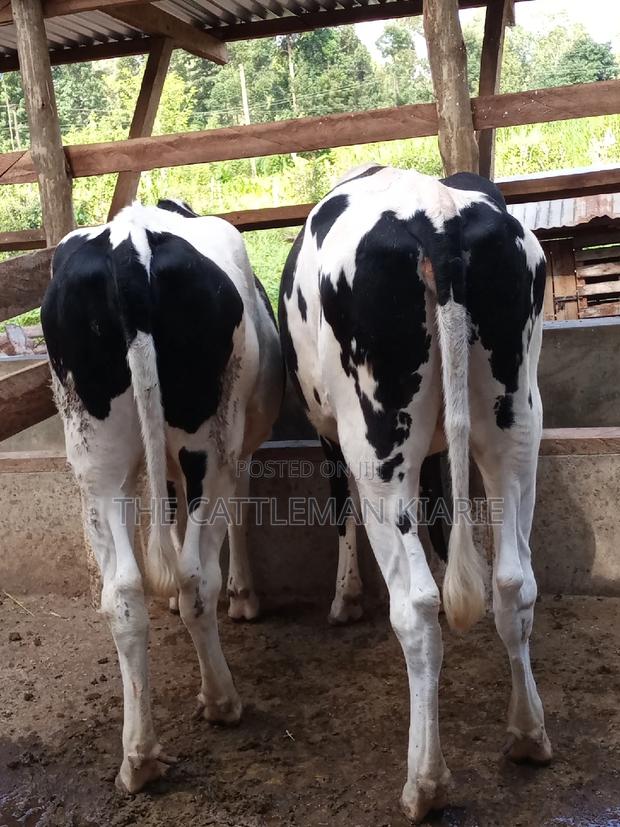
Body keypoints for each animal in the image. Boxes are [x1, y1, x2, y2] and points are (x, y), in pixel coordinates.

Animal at [41, 199, 283, 794]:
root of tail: (130, 242)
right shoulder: (240, 450)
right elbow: (234, 518)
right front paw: (245, 597)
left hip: (94, 458)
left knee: (123, 593)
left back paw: (139, 756)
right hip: (209, 445)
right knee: (197, 573)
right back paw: (221, 700)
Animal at [278, 165, 552, 822]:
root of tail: (436, 217)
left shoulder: (331, 436)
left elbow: (342, 510)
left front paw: (345, 598)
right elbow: (441, 514)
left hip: (377, 440)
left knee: (419, 608)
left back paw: (424, 782)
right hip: (517, 419)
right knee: (513, 580)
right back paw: (528, 733)